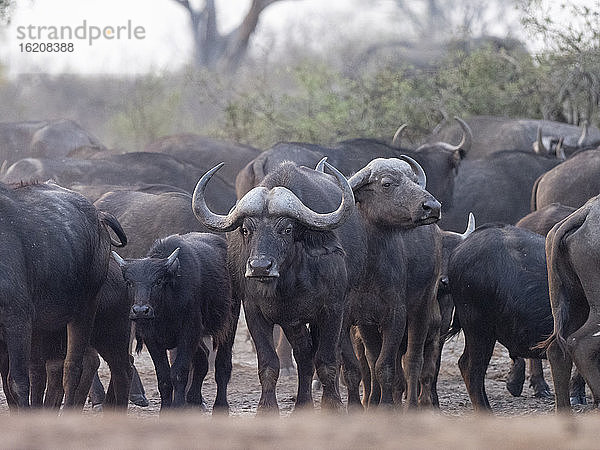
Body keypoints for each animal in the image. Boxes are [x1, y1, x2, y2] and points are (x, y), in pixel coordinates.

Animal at [113, 232, 236, 412]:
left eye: (158, 281)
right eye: (129, 282)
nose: (141, 310)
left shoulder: (189, 332)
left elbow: (179, 372)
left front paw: (177, 407)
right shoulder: (152, 339)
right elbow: (164, 377)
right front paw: (165, 410)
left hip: (230, 319)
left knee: (222, 364)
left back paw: (221, 406)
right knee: (203, 357)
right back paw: (194, 399)